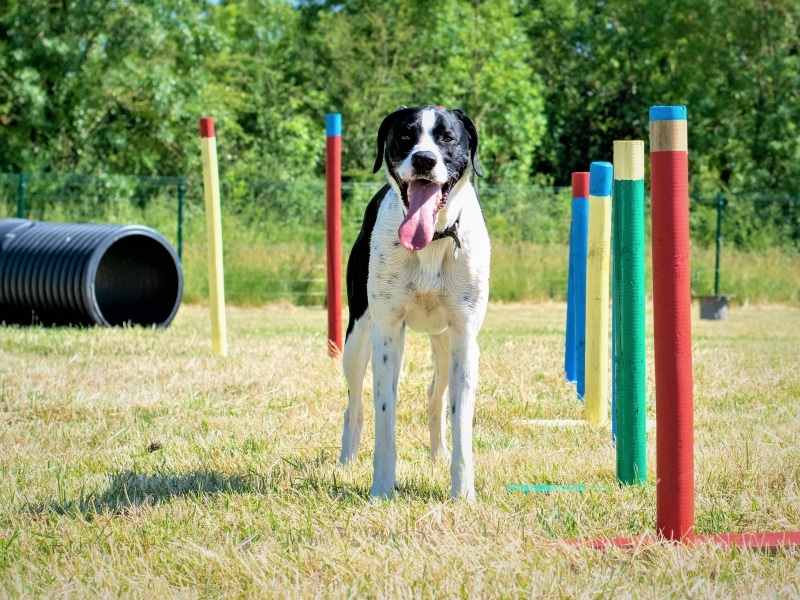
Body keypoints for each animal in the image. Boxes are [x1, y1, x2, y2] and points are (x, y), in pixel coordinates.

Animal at [336, 108, 488, 502]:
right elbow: (384, 414)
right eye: (405, 136)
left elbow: (461, 420)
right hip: (356, 339)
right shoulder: (388, 334)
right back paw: (345, 462)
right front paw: (382, 488)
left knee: (436, 397)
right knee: (354, 405)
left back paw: (438, 454)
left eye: (448, 137)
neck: (432, 239)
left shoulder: (465, 339)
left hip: (444, 343)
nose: (423, 159)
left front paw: (463, 493)